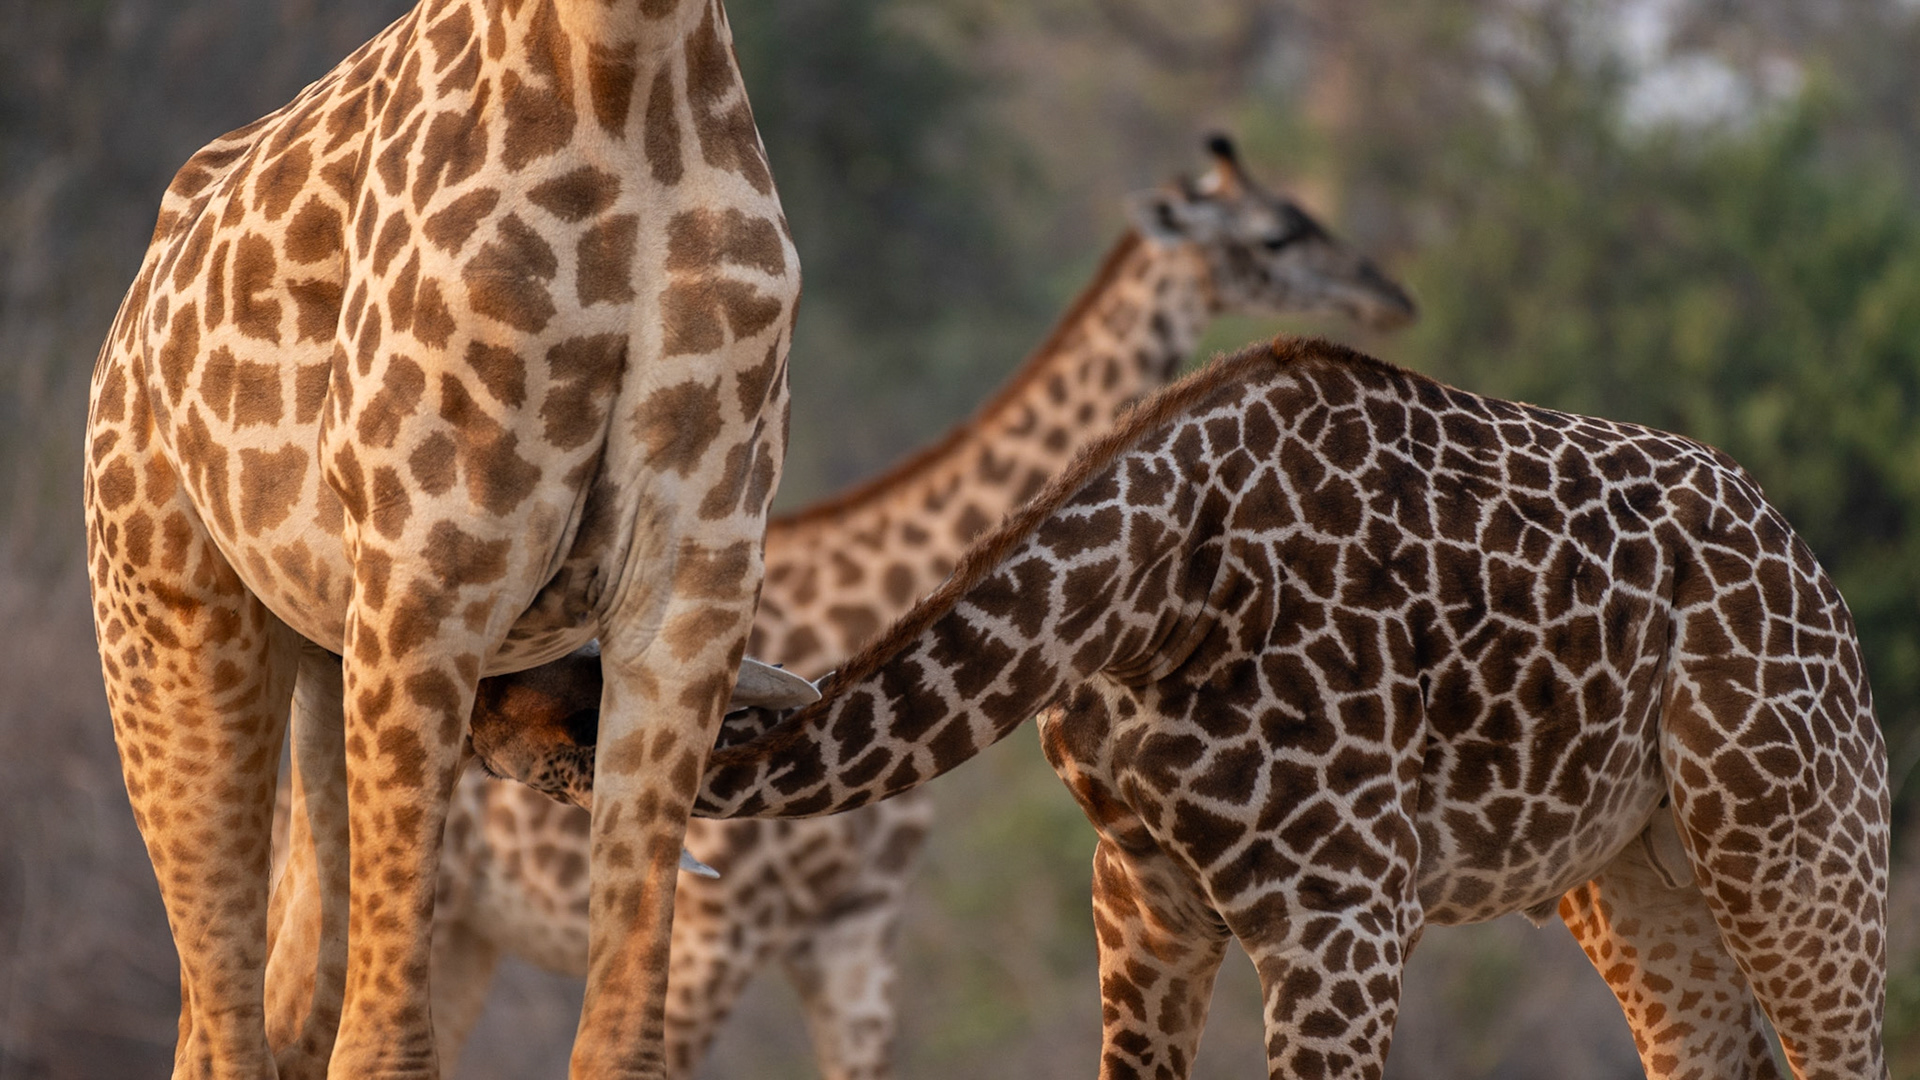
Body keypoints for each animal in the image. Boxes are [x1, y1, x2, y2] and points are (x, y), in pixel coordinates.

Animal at [81, 0, 800, 1076]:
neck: (627, 64)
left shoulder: (696, 572)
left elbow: (622, 1037)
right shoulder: (433, 556)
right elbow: (384, 1043)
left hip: (325, 662)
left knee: (273, 1008)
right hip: (170, 624)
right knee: (227, 1024)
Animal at [682, 337, 1886, 1080]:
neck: (1154, 599)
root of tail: (1812, 569)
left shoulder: (1344, 911)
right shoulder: (1141, 900)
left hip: (1796, 851)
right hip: (1634, 875)